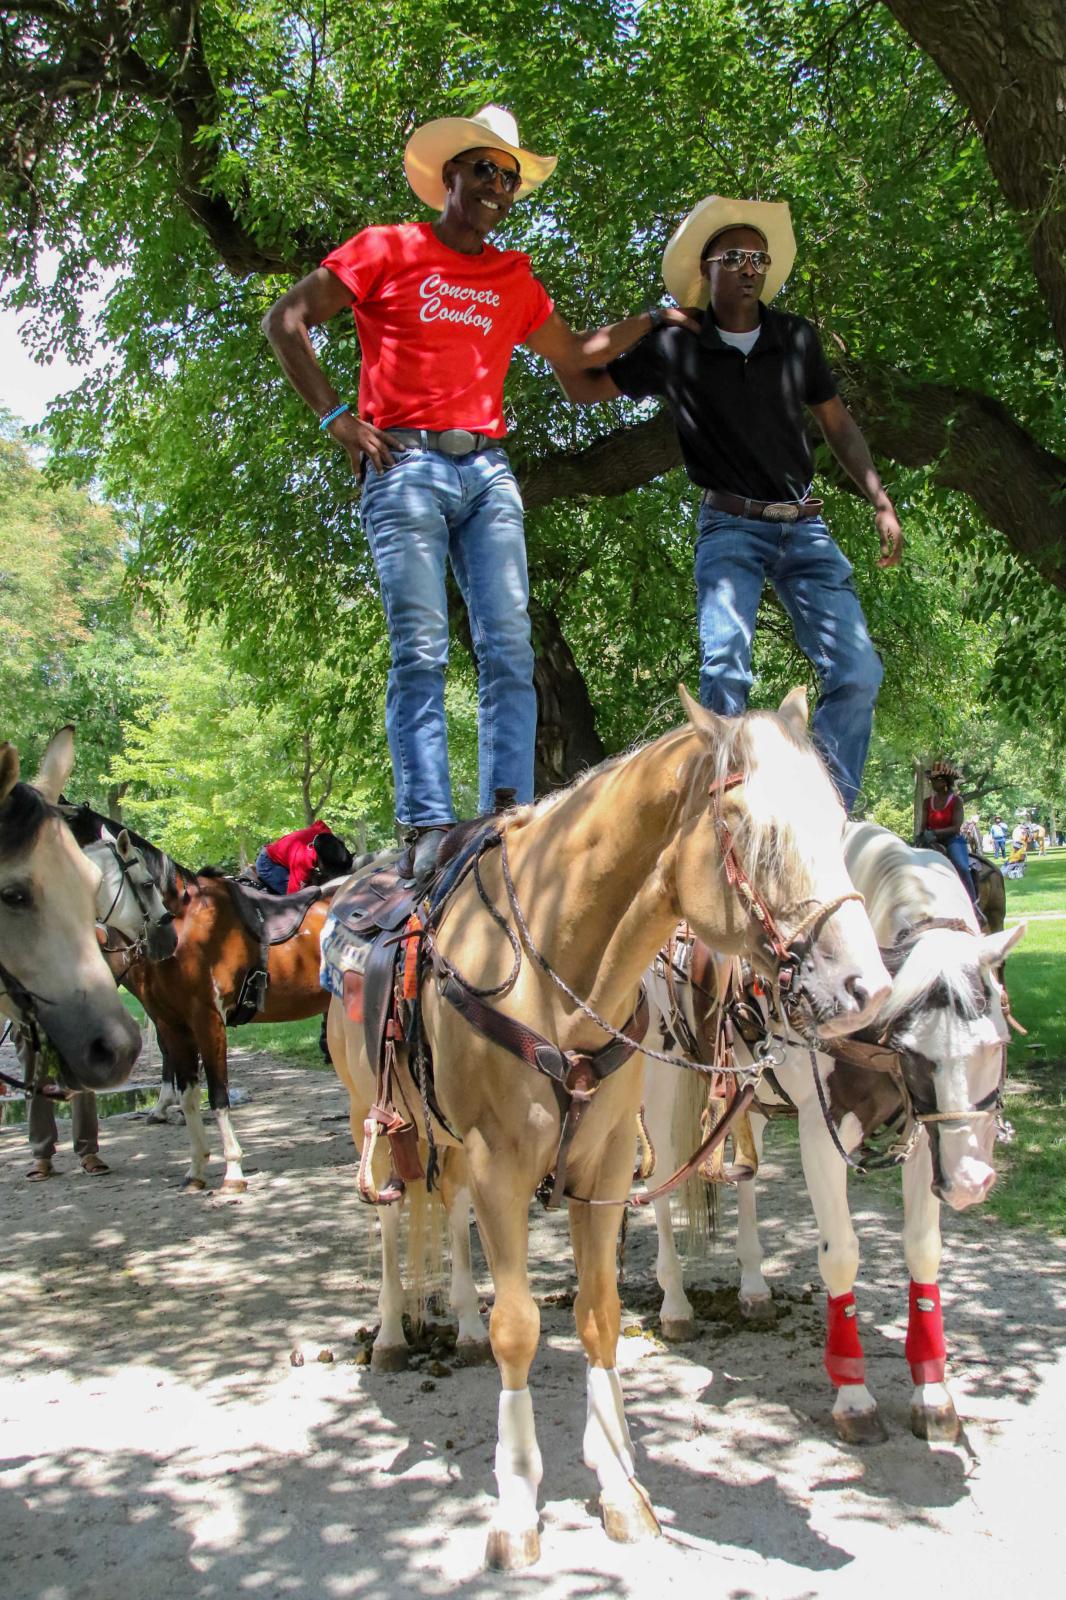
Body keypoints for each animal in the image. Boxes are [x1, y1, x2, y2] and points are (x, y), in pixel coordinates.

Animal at [61, 806, 332, 1196]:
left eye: (148, 883)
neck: (188, 924)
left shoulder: (207, 1020)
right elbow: (189, 1095)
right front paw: (196, 1169)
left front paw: (233, 1171)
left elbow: (218, 1094)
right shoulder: (172, 1025)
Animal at [326, 694, 889, 1568]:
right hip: (376, 1119)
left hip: (445, 1142)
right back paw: (390, 1334)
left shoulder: (606, 1163)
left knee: (447, 1217)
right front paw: (517, 1506)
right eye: (754, 833)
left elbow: (598, 1316)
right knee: (390, 1227)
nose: (868, 986)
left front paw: (622, 1487)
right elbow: (520, 1328)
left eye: (835, 823)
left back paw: (460, 1326)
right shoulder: (499, 1168)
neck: (551, 969)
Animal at [640, 825, 1024, 1452]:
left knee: (746, 1176)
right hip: (662, 1076)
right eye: (912, 1051)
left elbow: (923, 1249)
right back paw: (675, 1303)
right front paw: (853, 1398)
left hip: (754, 1094)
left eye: (996, 1042)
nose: (972, 1182)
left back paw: (754, 1289)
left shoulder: (927, 1135)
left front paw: (933, 1395)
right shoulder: (823, 1130)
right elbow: (840, 1254)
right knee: (664, 1180)